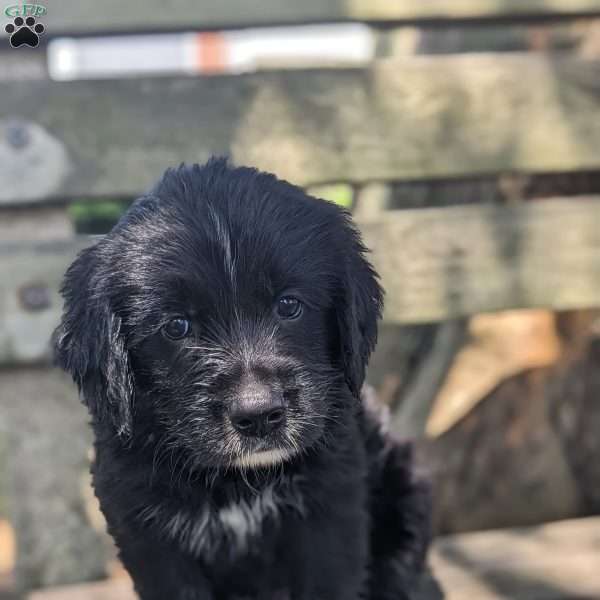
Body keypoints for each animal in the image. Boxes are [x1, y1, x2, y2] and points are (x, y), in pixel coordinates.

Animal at [54, 159, 432, 600]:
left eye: (289, 305)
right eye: (177, 326)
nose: (258, 415)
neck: (239, 481)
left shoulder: (330, 513)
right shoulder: (148, 533)